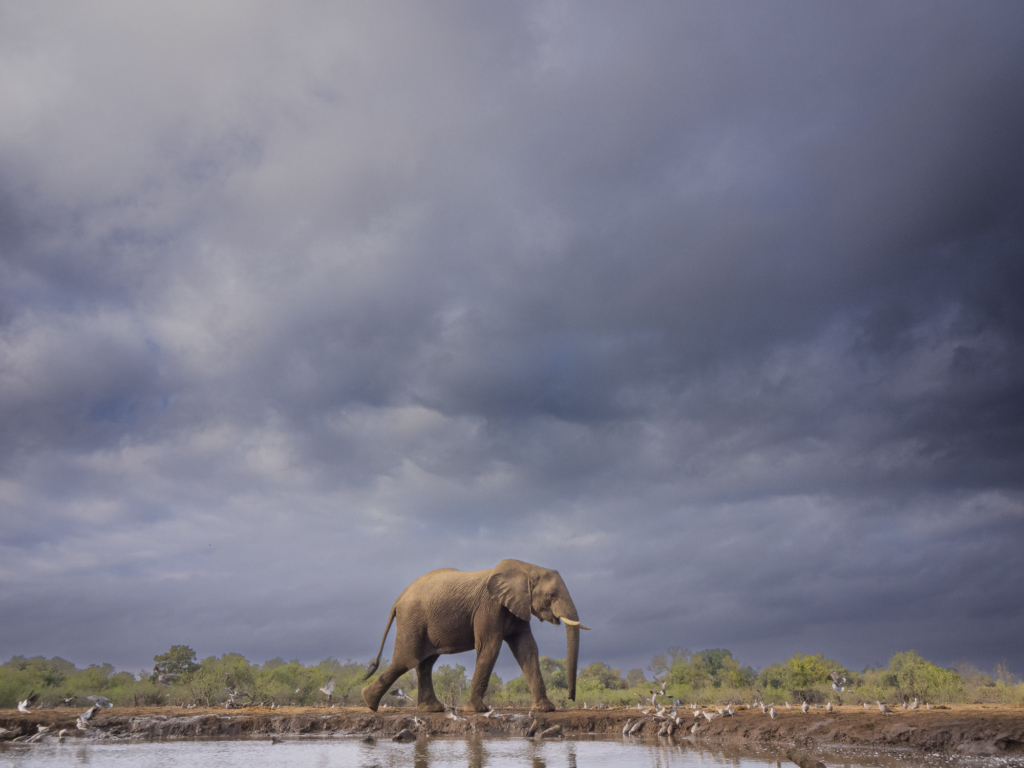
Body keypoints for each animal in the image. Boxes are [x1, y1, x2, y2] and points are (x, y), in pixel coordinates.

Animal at [360, 561, 589, 716]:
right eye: (551, 596)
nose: (571, 697)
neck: (526, 568)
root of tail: (397, 600)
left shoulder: (515, 607)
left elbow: (527, 648)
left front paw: (546, 709)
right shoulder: (489, 607)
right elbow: (490, 647)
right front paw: (477, 710)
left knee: (425, 663)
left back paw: (432, 709)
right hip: (412, 620)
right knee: (405, 660)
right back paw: (369, 702)